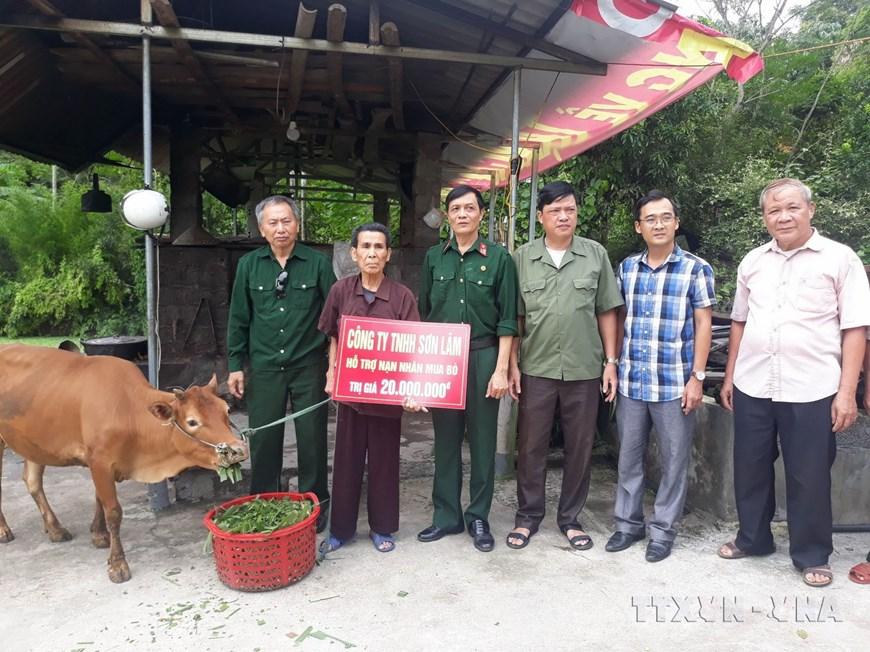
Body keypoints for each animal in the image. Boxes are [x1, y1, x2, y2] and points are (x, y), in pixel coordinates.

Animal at [1, 344, 250, 584]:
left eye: (227, 410)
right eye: (192, 421)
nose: (237, 450)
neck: (129, 410)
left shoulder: (99, 464)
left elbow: (99, 501)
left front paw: (98, 535)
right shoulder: (99, 461)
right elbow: (113, 512)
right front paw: (117, 564)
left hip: (32, 443)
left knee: (32, 481)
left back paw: (54, 528)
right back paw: (5, 531)